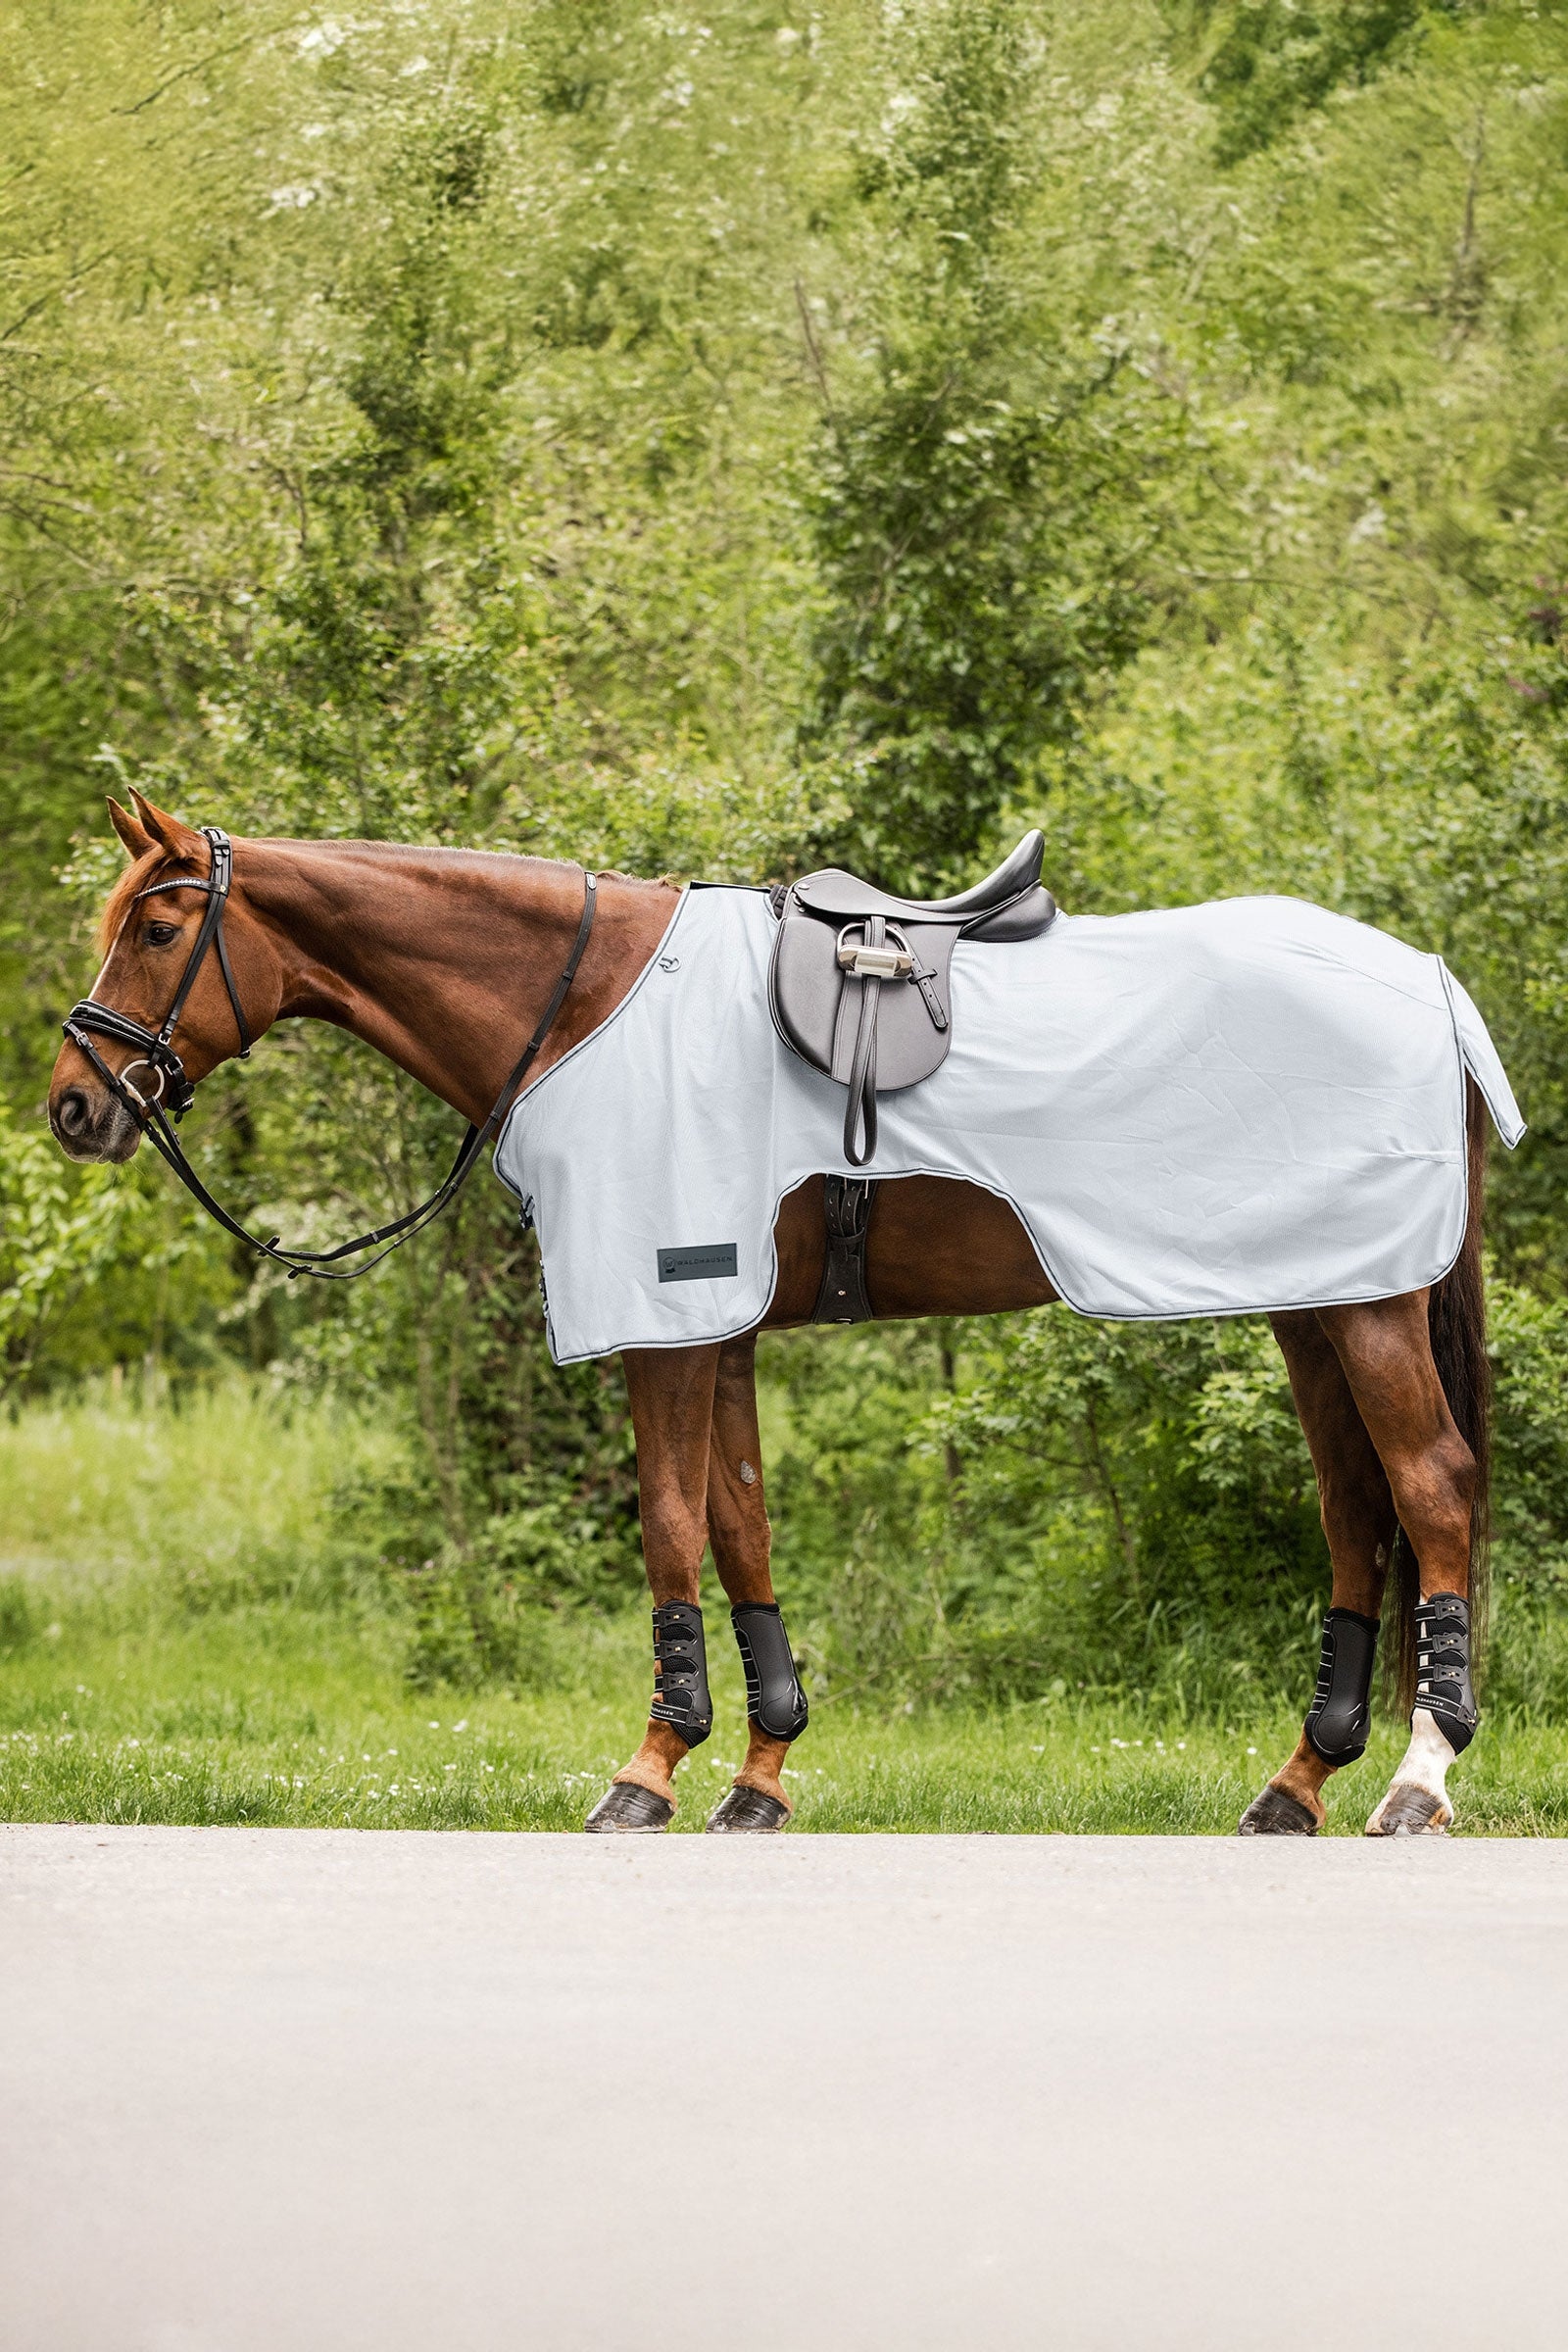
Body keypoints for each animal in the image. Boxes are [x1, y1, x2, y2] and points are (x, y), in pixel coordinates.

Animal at [49, 792, 1491, 1838]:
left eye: (159, 932)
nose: (74, 1104)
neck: (586, 1004)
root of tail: (1430, 979)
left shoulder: (664, 1317)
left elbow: (669, 1526)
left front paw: (647, 1770)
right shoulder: (719, 1325)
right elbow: (739, 1525)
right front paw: (759, 1772)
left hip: (1368, 1308)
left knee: (1431, 1490)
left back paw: (1417, 1781)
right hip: (1313, 1303)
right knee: (1354, 1509)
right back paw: (1297, 1784)